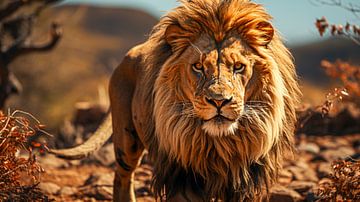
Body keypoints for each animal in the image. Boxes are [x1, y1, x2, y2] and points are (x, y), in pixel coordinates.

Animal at [50, 0, 300, 201]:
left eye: (238, 67)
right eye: (198, 67)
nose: (219, 101)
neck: (220, 144)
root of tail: (128, 55)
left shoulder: (246, 181)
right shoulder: (184, 178)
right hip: (126, 138)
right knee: (122, 176)